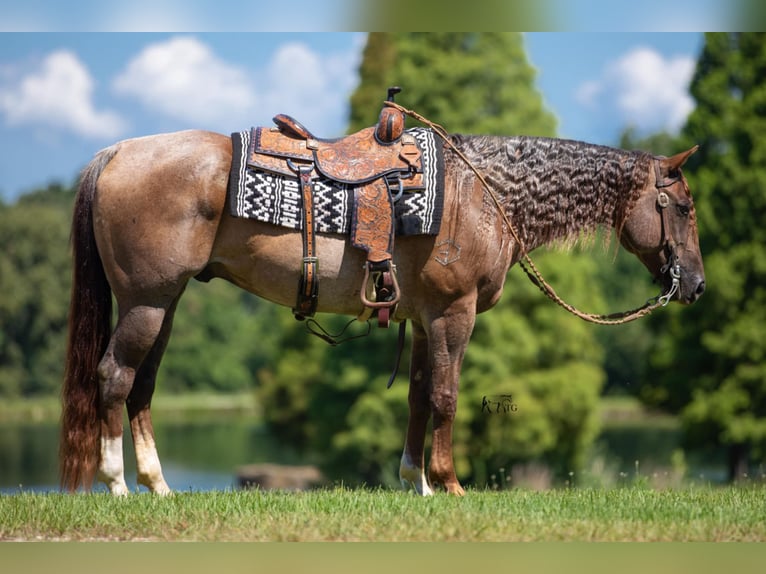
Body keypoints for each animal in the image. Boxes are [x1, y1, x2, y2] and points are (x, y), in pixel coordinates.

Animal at [59, 127, 705, 496]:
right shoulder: (452, 314)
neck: (484, 194)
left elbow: (419, 397)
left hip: (163, 305)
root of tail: (116, 152)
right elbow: (446, 395)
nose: (696, 285)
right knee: (114, 377)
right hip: (147, 302)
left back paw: (159, 486)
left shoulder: (421, 319)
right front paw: (449, 484)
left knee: (142, 387)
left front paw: (415, 483)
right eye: (683, 207)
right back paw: (117, 485)